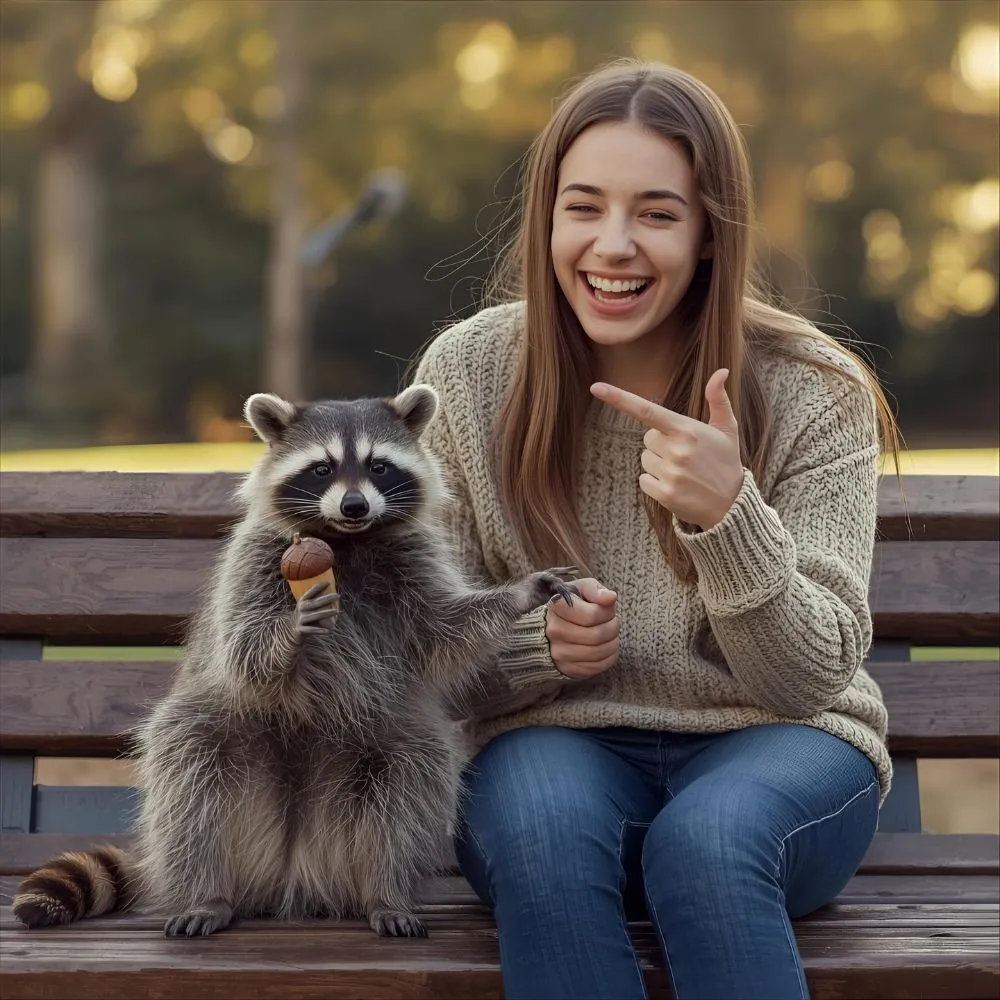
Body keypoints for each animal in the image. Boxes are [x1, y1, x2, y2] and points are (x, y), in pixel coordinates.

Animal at [12, 384, 577, 938]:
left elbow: (444, 628)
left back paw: (384, 888)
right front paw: (291, 634)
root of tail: (292, 862)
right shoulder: (257, 556)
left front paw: (519, 597)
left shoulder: (411, 559)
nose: (354, 505)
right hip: (227, 726)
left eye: (378, 466)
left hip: (384, 739)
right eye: (321, 469)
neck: (345, 540)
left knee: (409, 784)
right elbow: (242, 646)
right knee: (188, 775)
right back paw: (207, 890)